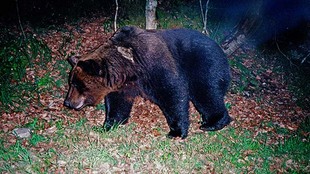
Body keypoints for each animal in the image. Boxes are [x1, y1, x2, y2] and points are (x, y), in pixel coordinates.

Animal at [65, 26, 230, 139]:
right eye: (71, 82)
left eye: (76, 84)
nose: (67, 102)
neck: (129, 68)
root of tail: (219, 47)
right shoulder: (123, 85)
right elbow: (117, 103)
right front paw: (108, 124)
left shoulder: (155, 65)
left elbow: (172, 93)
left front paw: (176, 131)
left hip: (204, 64)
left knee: (206, 92)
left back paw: (213, 123)